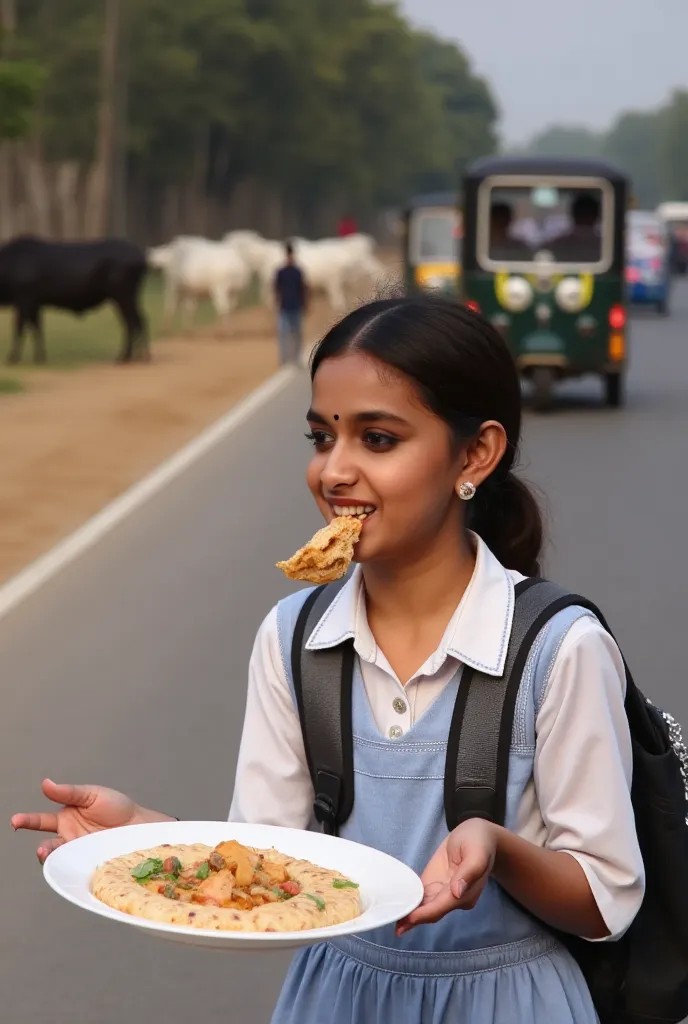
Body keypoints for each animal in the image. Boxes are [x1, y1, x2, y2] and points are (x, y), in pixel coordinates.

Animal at [0, 237, 149, 366]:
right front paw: (40, 357)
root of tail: (140, 256)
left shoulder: (24, 302)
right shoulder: (35, 305)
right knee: (140, 321)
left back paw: (125, 357)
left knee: (131, 323)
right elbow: (37, 329)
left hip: (123, 297)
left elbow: (19, 329)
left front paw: (12, 358)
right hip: (131, 297)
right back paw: (142, 355)